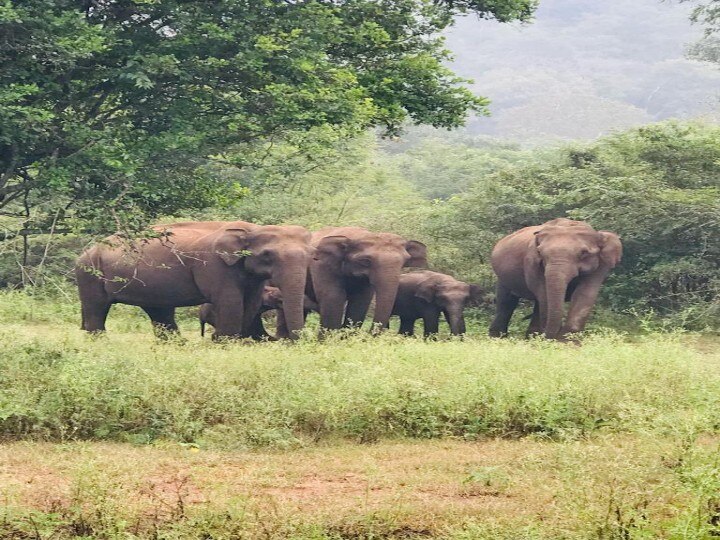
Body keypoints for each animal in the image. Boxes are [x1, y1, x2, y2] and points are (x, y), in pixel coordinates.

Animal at [74, 218, 314, 338]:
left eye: (310, 255)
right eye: (267, 255)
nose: (296, 341)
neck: (251, 229)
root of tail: (88, 250)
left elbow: (250, 304)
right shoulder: (215, 266)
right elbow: (231, 303)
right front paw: (224, 343)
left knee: (160, 314)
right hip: (88, 273)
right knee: (96, 310)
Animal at [490, 218, 624, 338]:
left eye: (584, 253)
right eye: (540, 253)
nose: (552, 336)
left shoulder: (601, 265)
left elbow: (585, 293)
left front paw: (567, 342)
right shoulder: (531, 261)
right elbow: (543, 293)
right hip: (502, 277)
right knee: (506, 302)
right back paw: (499, 338)